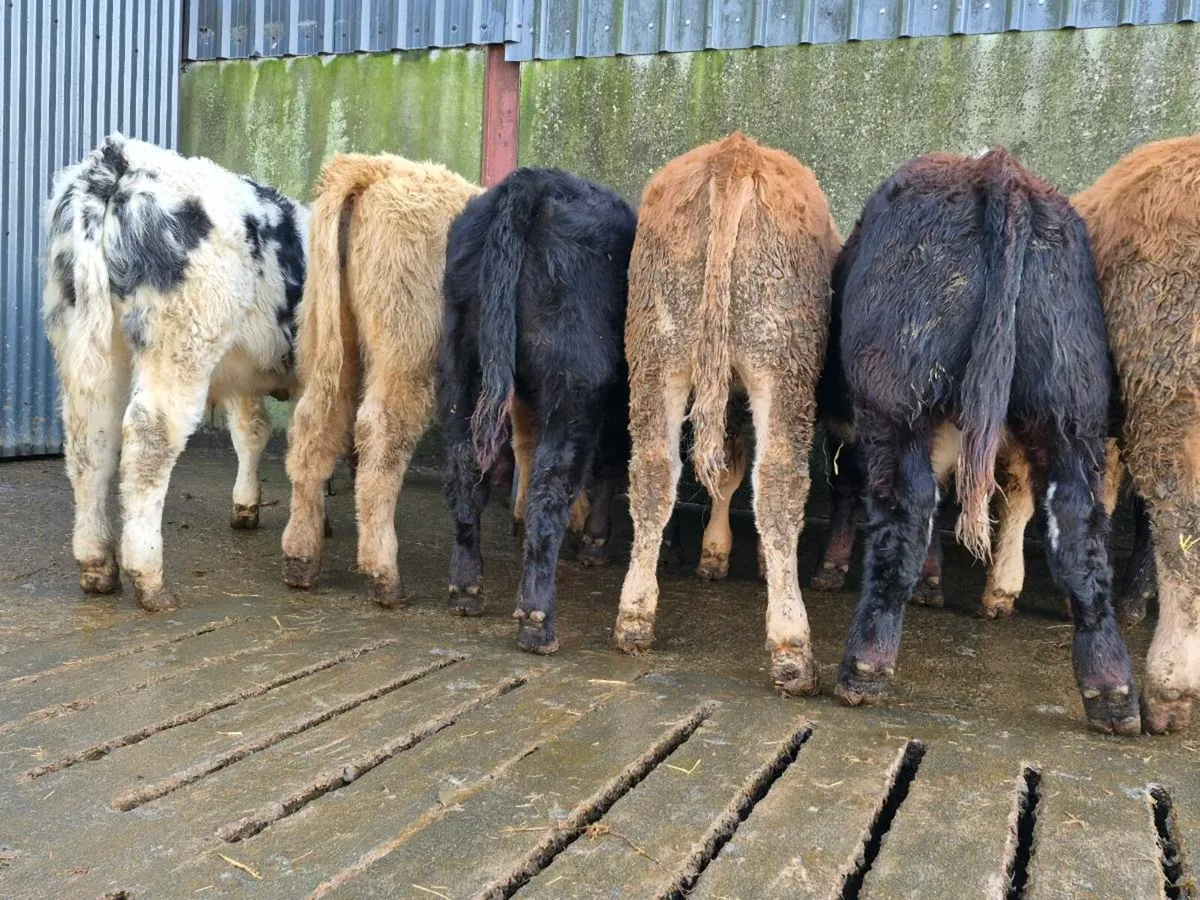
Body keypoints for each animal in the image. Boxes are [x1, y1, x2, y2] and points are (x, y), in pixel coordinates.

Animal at [43, 134, 307, 612]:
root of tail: (120, 158)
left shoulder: (240, 372)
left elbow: (252, 432)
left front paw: (246, 507)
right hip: (181, 342)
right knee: (150, 438)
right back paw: (148, 577)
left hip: (84, 339)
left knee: (90, 439)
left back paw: (97, 564)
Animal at [281, 153, 480, 608]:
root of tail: (373, 169)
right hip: (406, 351)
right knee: (381, 435)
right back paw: (384, 575)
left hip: (330, 338)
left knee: (314, 426)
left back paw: (301, 558)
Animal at [439, 167, 636, 653]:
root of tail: (533, 181)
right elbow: (607, 465)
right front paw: (595, 540)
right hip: (574, 386)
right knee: (551, 486)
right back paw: (537, 620)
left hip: (459, 370)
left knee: (464, 470)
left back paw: (466, 589)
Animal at [612, 131, 840, 695]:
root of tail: (735, 154)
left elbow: (727, 467)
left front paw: (714, 552)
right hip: (782, 363)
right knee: (778, 481)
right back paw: (792, 651)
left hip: (658, 352)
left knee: (654, 473)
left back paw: (634, 618)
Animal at [830, 148, 1140, 735]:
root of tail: (998, 172)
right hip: (1070, 407)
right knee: (1080, 527)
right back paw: (1111, 691)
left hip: (895, 401)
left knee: (906, 510)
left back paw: (864, 666)